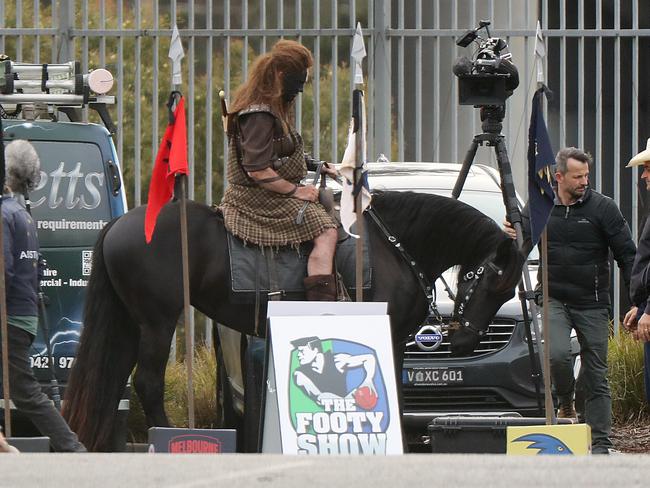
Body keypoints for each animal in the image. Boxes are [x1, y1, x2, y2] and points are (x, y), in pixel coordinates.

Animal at [63, 191, 524, 450]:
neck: (390, 244)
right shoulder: (390, 336)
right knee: (147, 383)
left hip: (131, 324)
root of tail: (120, 224)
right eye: (492, 280)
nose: (463, 341)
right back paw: (171, 437)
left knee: (114, 380)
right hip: (158, 323)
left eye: (508, 290)